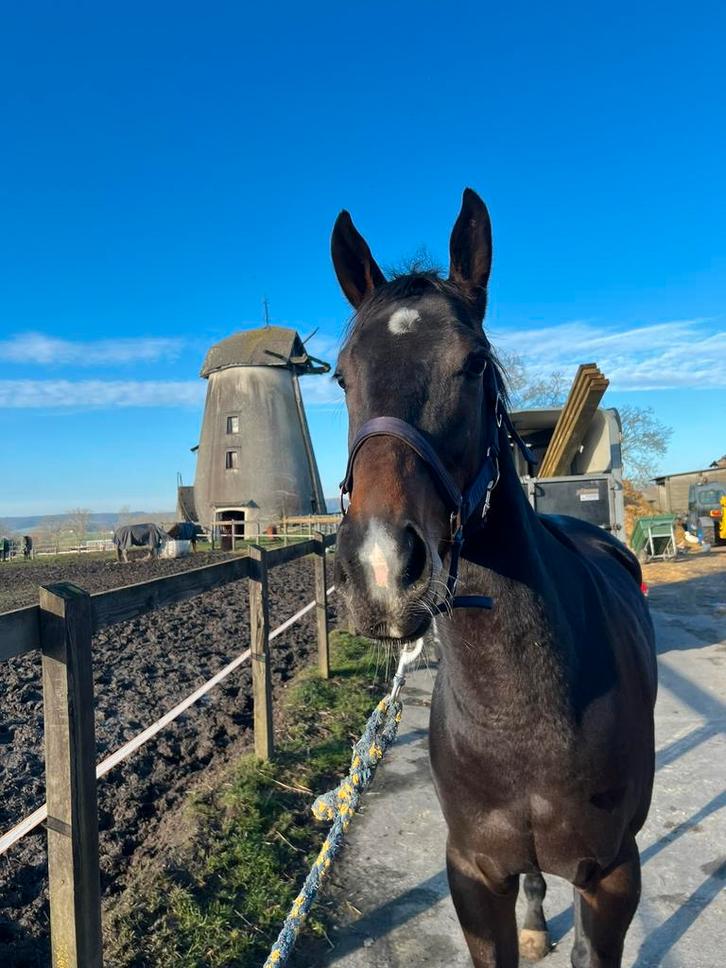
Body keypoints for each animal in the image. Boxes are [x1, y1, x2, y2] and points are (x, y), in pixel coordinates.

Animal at [331, 188, 657, 968]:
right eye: (341, 374)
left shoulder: (613, 876)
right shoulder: (473, 874)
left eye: (475, 362)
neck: (520, 712)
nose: (381, 568)